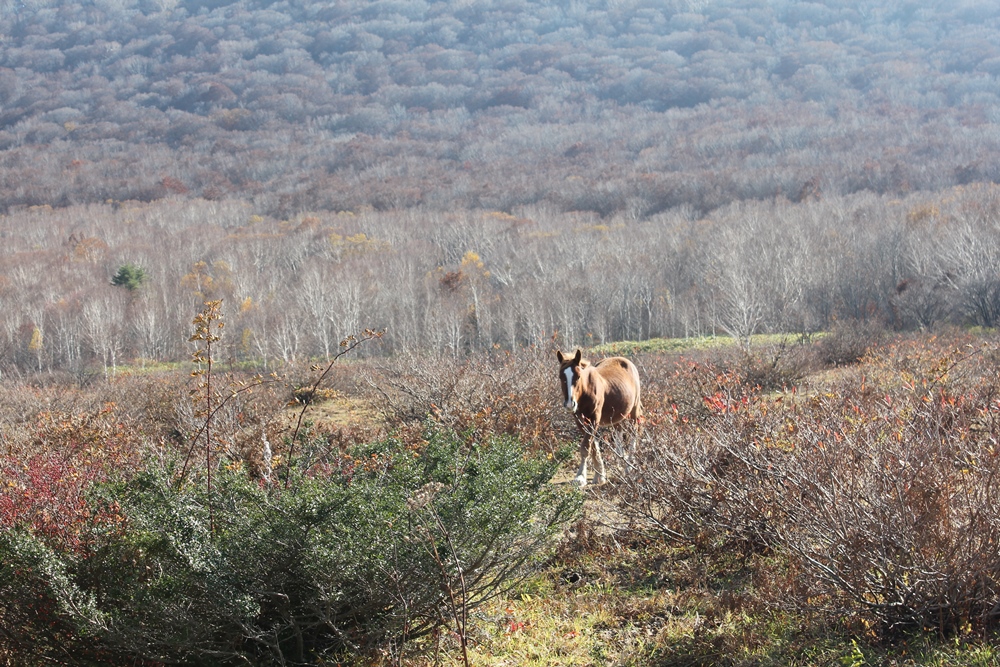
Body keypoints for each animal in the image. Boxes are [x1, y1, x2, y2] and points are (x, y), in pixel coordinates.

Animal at [556, 350, 640, 486]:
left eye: (578, 377)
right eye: (561, 377)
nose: (569, 404)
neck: (586, 391)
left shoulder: (594, 419)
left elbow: (586, 446)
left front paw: (580, 476)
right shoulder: (580, 421)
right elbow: (593, 446)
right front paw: (600, 475)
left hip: (634, 410)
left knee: (634, 432)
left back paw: (629, 466)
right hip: (617, 416)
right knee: (618, 432)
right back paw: (620, 461)